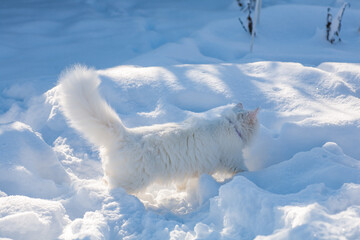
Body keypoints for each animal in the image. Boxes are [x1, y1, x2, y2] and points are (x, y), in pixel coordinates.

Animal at [57, 64, 258, 193]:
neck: (230, 124)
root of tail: (125, 134)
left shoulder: (193, 170)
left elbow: (185, 183)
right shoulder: (233, 160)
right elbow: (244, 172)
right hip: (131, 181)